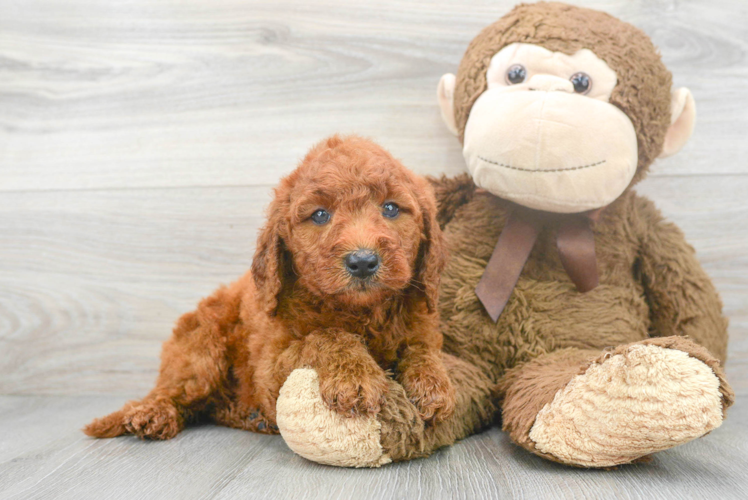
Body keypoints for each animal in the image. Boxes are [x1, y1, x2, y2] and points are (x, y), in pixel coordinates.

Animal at [84, 135, 452, 440]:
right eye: (320, 215)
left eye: (390, 208)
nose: (362, 261)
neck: (361, 311)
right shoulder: (270, 369)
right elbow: (327, 336)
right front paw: (356, 376)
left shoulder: (422, 324)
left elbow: (422, 349)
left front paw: (433, 385)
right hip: (201, 351)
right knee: (177, 391)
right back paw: (153, 413)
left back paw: (247, 416)